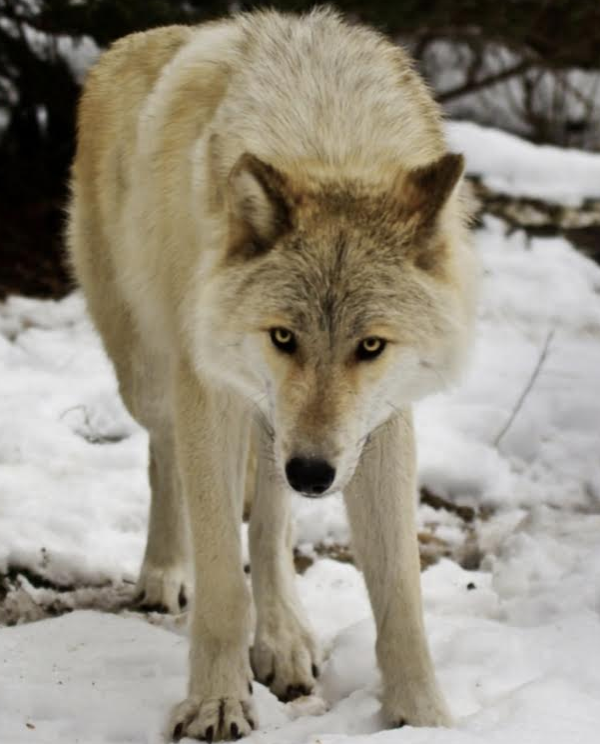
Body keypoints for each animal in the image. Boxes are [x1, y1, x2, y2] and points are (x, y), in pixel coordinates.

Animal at [67, 7, 477, 741]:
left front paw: (424, 717)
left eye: (371, 346)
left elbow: (400, 592)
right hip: (154, 380)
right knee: (164, 458)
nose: (312, 473)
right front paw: (217, 703)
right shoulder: (210, 392)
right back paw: (165, 572)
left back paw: (285, 636)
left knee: (270, 523)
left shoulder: (378, 424)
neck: (328, 136)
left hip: (275, 424)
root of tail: (127, 43)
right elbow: (223, 586)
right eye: (283, 336)